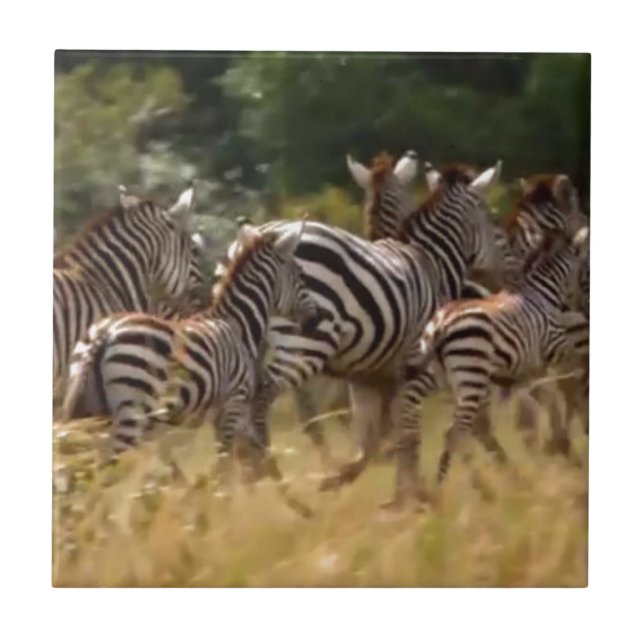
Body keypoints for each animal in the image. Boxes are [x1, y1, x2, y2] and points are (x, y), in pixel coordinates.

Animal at [61, 221, 323, 513]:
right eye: (300, 274)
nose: (315, 319)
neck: (237, 324)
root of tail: (103, 334)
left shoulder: (226, 411)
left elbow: (249, 456)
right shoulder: (233, 402)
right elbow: (226, 464)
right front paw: (222, 509)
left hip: (90, 412)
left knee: (77, 472)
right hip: (130, 414)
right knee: (99, 472)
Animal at [224, 161, 507, 505]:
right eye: (494, 218)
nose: (501, 281)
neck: (432, 263)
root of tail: (258, 236)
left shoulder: (368, 378)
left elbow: (375, 436)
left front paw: (353, 480)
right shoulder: (417, 369)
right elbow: (406, 429)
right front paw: (411, 495)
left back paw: (251, 480)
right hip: (305, 344)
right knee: (264, 398)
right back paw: (271, 475)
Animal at [405, 225, 589, 485]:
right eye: (585, 270)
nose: (583, 307)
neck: (541, 294)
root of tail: (441, 324)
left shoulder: (527, 368)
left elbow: (540, 399)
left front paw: (553, 444)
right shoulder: (555, 348)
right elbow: (567, 384)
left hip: (445, 378)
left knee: (461, 429)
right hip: (471, 376)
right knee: (456, 431)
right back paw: (452, 487)